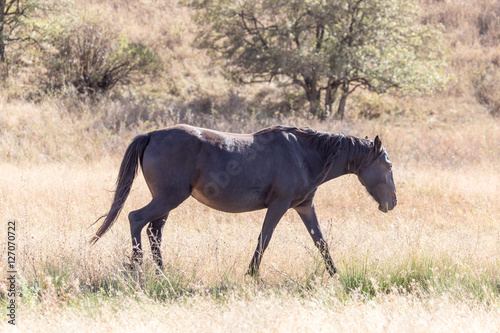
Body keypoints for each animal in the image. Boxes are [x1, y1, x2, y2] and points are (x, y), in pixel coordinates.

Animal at [89, 124, 394, 274]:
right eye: (388, 166)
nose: (393, 203)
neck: (306, 155)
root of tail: (151, 135)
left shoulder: (304, 207)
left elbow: (321, 242)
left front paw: (335, 274)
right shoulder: (279, 206)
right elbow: (264, 239)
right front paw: (252, 274)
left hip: (166, 202)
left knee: (154, 231)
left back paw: (161, 272)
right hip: (168, 199)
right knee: (136, 219)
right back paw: (137, 267)